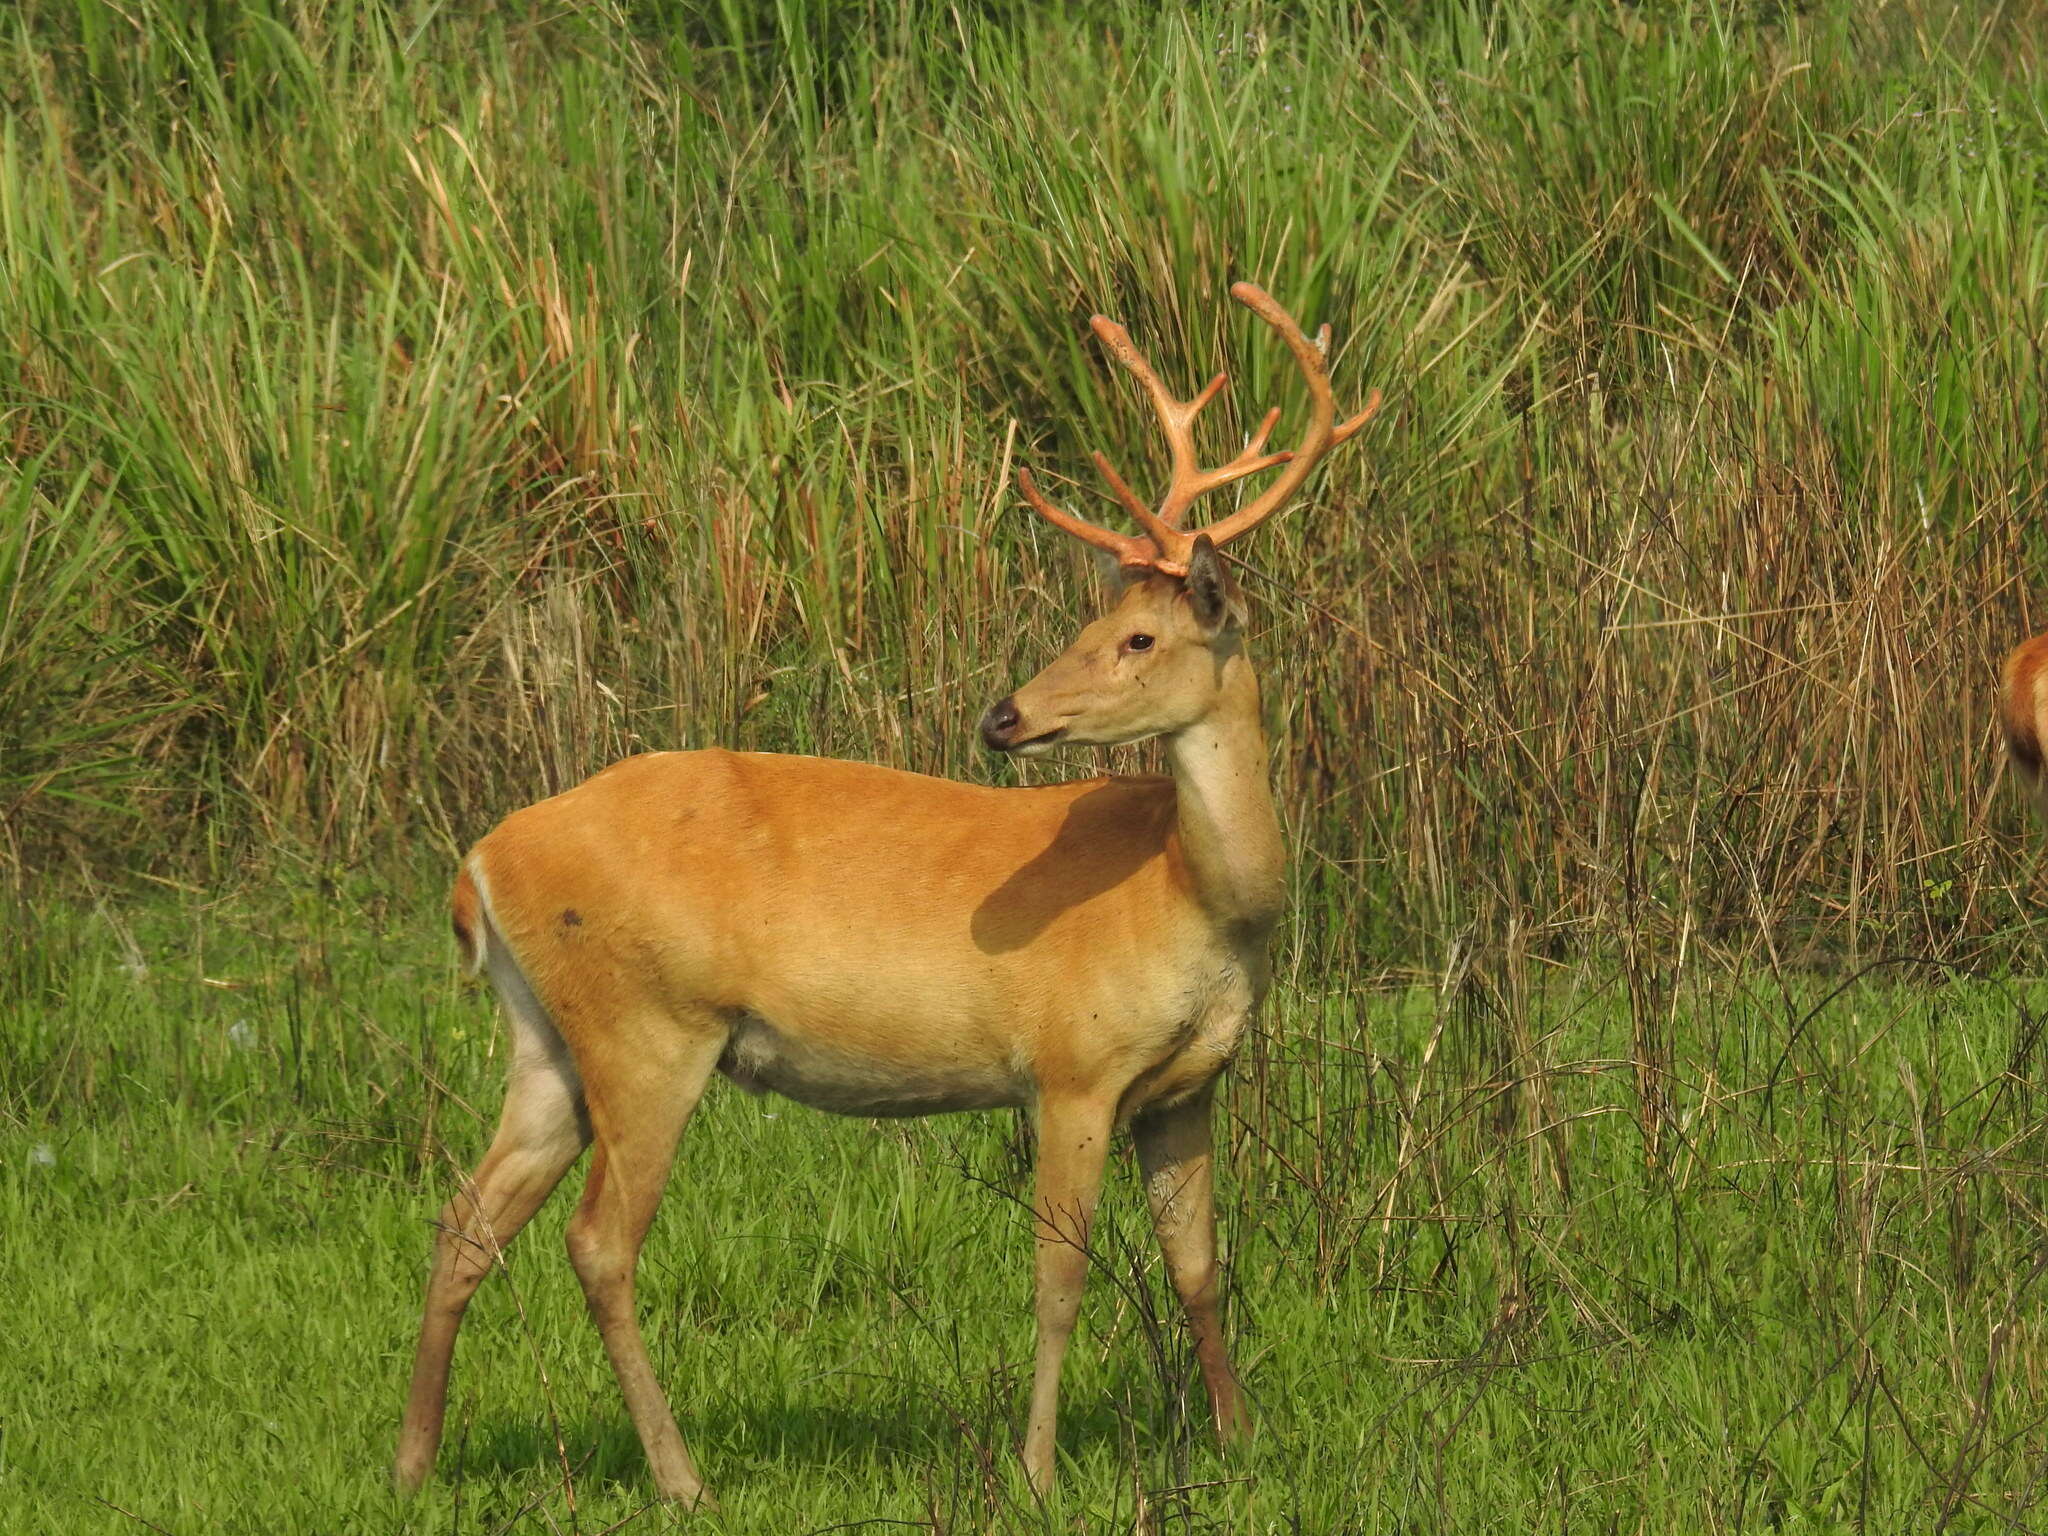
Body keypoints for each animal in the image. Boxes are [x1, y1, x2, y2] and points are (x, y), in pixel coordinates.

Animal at [391, 282, 1384, 1507]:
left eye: (1137, 636)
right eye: (1090, 629)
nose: (1004, 716)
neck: (1195, 896)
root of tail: (478, 865)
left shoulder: (1186, 1084)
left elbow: (1197, 1265)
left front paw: (1242, 1441)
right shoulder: (1071, 1062)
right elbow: (1060, 1273)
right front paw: (1036, 1472)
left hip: (547, 1037)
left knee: (465, 1218)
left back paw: (413, 1463)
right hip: (646, 1023)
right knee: (599, 1242)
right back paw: (681, 1479)